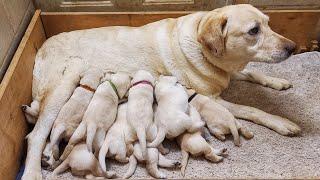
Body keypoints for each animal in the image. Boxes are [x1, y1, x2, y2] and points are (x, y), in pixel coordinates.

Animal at [22, 4, 300, 180]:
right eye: (254, 30)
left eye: (268, 23)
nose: (293, 48)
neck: (203, 47)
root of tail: (41, 47)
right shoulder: (214, 98)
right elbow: (253, 109)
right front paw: (282, 121)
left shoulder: (227, 72)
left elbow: (252, 73)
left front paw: (277, 81)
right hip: (63, 87)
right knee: (36, 135)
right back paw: (34, 171)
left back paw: (49, 154)